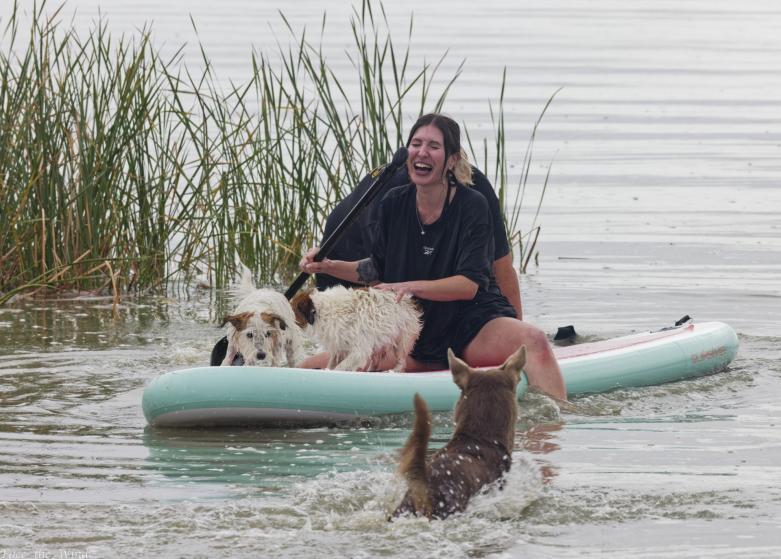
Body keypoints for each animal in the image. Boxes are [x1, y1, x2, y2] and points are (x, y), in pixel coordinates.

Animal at [289, 285, 421, 371]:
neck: (324, 311)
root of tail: (409, 300)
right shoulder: (340, 348)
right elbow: (333, 364)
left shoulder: (359, 351)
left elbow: (339, 368)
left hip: (402, 341)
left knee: (402, 362)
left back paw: (394, 370)